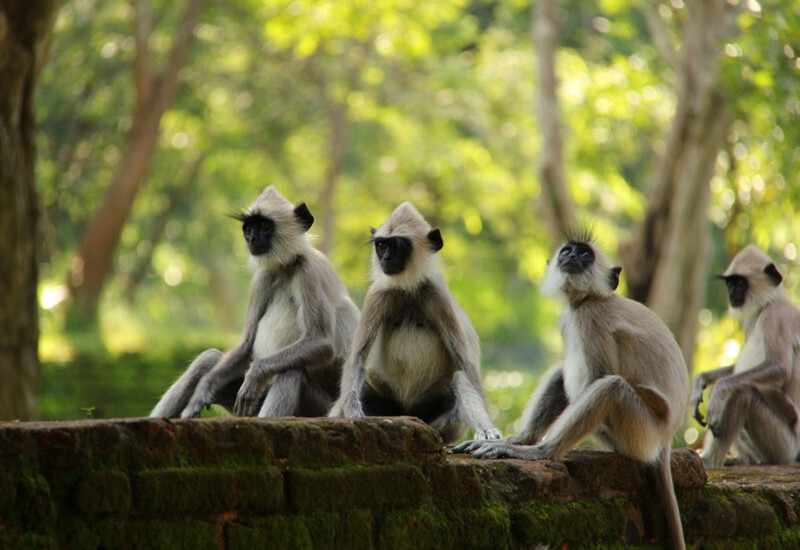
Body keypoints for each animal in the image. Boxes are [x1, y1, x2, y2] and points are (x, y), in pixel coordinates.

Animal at [149, 188, 360, 420]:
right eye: (248, 228)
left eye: (265, 226)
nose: (251, 238)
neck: (286, 267)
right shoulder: (262, 279)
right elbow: (247, 344)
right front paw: (202, 390)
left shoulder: (309, 273)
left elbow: (322, 342)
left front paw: (254, 375)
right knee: (209, 358)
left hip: (316, 408)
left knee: (291, 371)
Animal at [326, 202, 500, 444]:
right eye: (381, 246)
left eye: (398, 246)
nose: (385, 259)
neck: (407, 289)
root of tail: (408, 412)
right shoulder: (377, 295)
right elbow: (356, 358)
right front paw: (352, 414)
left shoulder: (437, 294)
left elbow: (466, 365)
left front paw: (487, 427)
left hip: (441, 423)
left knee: (459, 379)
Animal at [456, 236, 688, 550]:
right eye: (568, 251)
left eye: (586, 255)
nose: (572, 256)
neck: (592, 298)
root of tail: (665, 440)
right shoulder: (571, 318)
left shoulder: (589, 318)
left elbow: (596, 377)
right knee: (562, 373)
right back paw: (522, 440)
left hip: (641, 432)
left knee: (609, 387)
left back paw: (541, 451)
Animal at [692, 246, 800, 470]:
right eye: (730, 283)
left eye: (740, 283)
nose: (732, 294)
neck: (769, 303)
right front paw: (700, 382)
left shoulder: (776, 317)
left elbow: (780, 368)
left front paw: (717, 390)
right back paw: (743, 459)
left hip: (783, 445)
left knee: (743, 393)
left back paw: (708, 460)